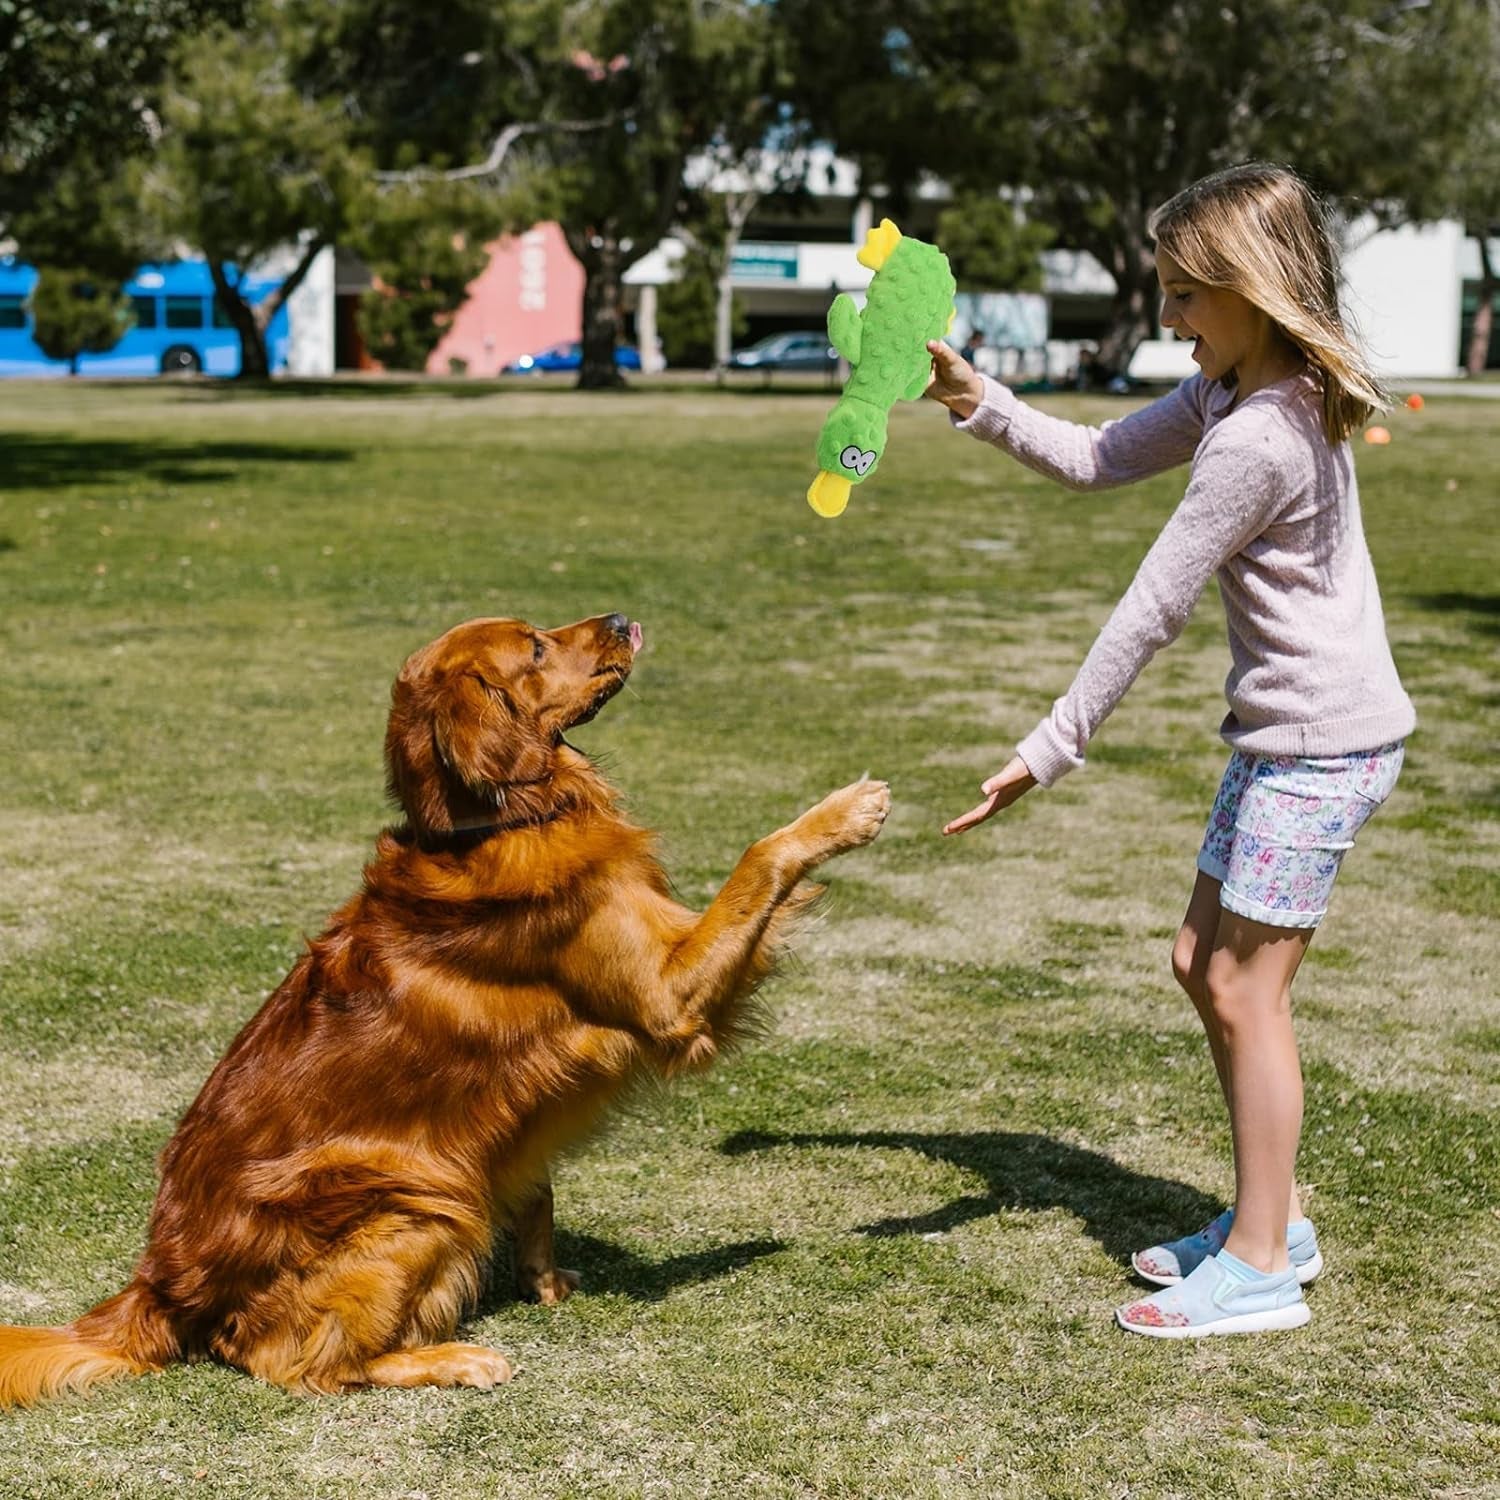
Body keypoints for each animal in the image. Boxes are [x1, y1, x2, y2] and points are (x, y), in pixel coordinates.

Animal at [0, 609, 888, 1404]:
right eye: (535, 647)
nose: (624, 618)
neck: (492, 820)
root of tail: (158, 1289)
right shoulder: (667, 996)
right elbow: (759, 858)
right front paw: (843, 812)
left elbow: (537, 1191)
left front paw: (544, 1280)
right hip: (416, 1198)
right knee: (286, 1361)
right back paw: (450, 1358)